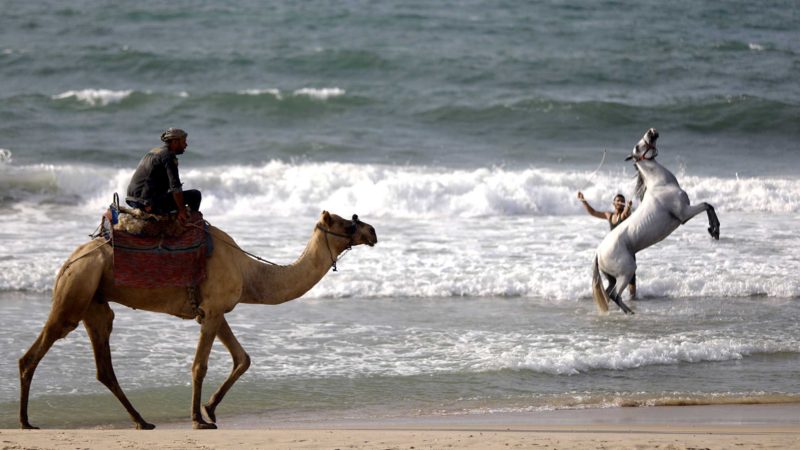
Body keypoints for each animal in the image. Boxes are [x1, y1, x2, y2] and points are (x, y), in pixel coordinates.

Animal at [18, 211, 378, 428]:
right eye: (346, 224)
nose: (372, 231)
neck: (250, 274)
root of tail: (68, 262)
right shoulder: (213, 310)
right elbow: (199, 365)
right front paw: (198, 418)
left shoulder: (215, 311)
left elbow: (243, 358)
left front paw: (211, 408)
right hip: (78, 287)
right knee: (34, 352)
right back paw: (25, 421)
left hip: (96, 302)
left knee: (103, 365)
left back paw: (141, 421)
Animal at [592, 128, 720, 314]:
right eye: (638, 146)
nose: (651, 131)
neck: (661, 184)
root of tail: (598, 253)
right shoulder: (684, 214)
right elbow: (707, 205)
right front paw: (714, 230)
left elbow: (708, 206)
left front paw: (714, 231)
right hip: (627, 271)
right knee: (615, 294)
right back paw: (631, 313)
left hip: (613, 277)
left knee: (609, 293)